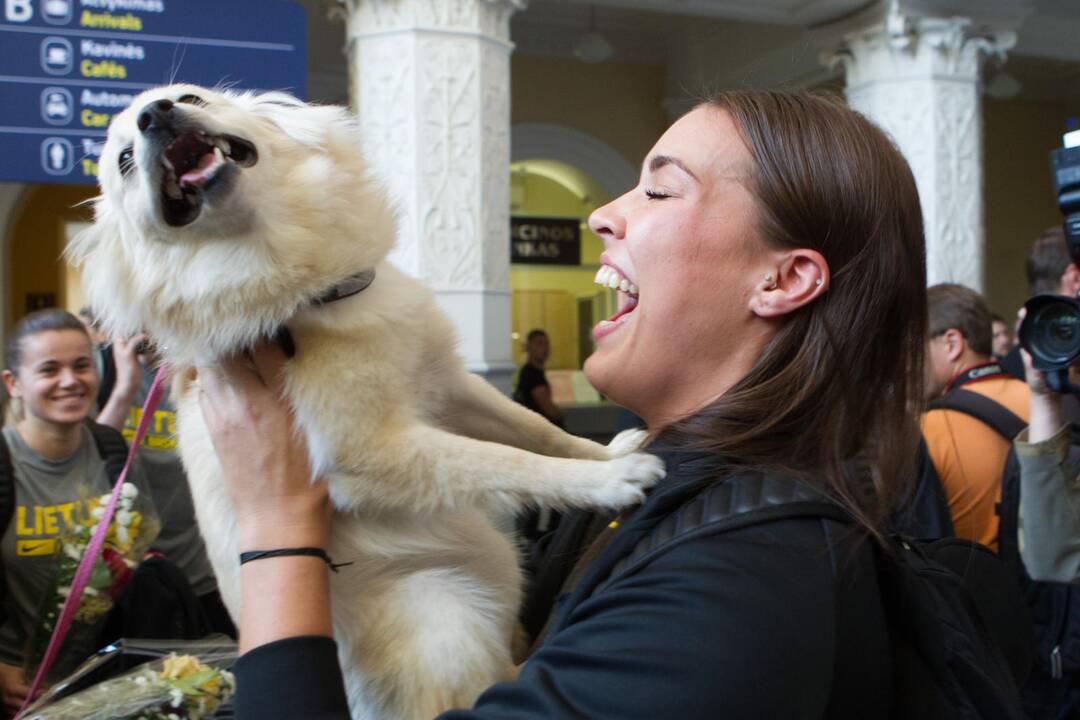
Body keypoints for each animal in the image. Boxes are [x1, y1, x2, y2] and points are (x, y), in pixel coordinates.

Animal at [69, 85, 665, 720]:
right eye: (124, 162)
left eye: (189, 97)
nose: (154, 115)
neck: (307, 288)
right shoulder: (368, 450)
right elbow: (507, 461)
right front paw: (610, 480)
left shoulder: (446, 382)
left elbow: (535, 430)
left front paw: (604, 452)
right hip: (445, 617)